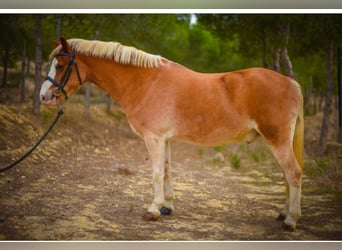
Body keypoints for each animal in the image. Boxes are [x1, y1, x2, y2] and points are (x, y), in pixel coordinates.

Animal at [40, 36, 304, 230]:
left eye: (60, 66)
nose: (44, 96)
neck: (146, 82)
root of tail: (291, 83)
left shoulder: (154, 138)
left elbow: (156, 173)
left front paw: (153, 210)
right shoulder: (164, 140)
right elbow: (166, 171)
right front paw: (167, 207)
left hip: (278, 141)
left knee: (293, 174)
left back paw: (291, 220)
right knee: (287, 176)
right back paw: (283, 214)